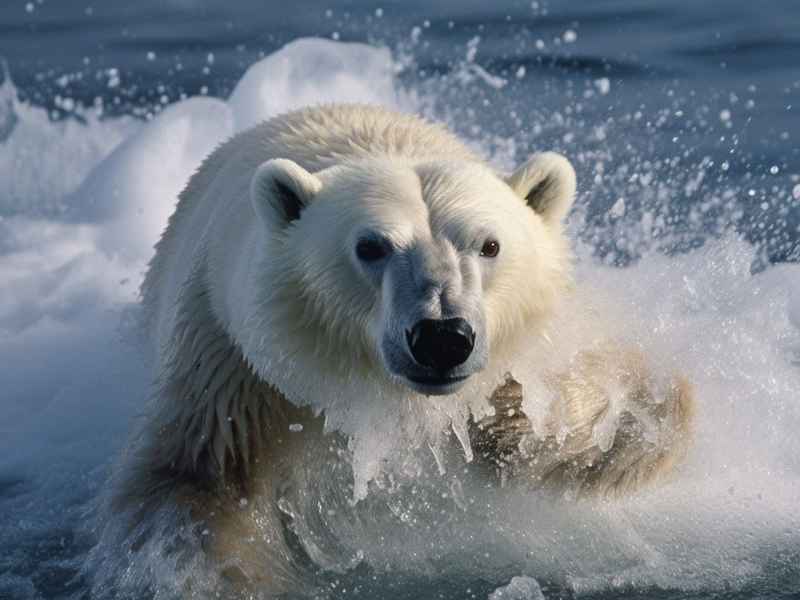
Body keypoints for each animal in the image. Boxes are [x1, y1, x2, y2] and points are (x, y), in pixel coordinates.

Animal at [91, 104, 692, 597]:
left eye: (489, 244)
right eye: (370, 247)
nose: (442, 337)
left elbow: (616, 402)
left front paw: (530, 433)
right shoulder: (234, 365)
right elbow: (199, 482)